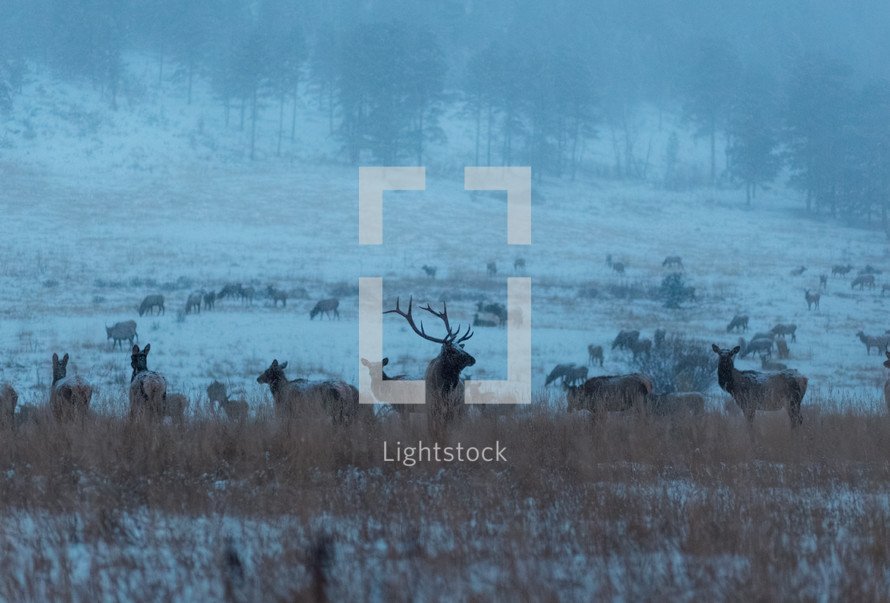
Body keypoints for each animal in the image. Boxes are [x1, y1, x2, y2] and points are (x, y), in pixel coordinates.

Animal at [386, 296, 476, 434]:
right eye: (452, 351)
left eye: (460, 347)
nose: (472, 359)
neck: (442, 390)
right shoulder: (431, 410)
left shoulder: (451, 410)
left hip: (461, 410)